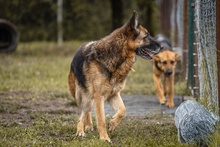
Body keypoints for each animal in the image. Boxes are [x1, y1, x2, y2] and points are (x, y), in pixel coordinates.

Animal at [67, 10, 162, 142]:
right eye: (146, 36)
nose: (162, 47)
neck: (117, 56)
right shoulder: (99, 96)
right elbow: (101, 120)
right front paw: (104, 138)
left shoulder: (113, 94)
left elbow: (122, 109)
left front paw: (113, 124)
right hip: (82, 96)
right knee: (82, 114)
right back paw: (80, 131)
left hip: (90, 97)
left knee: (87, 112)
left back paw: (88, 126)